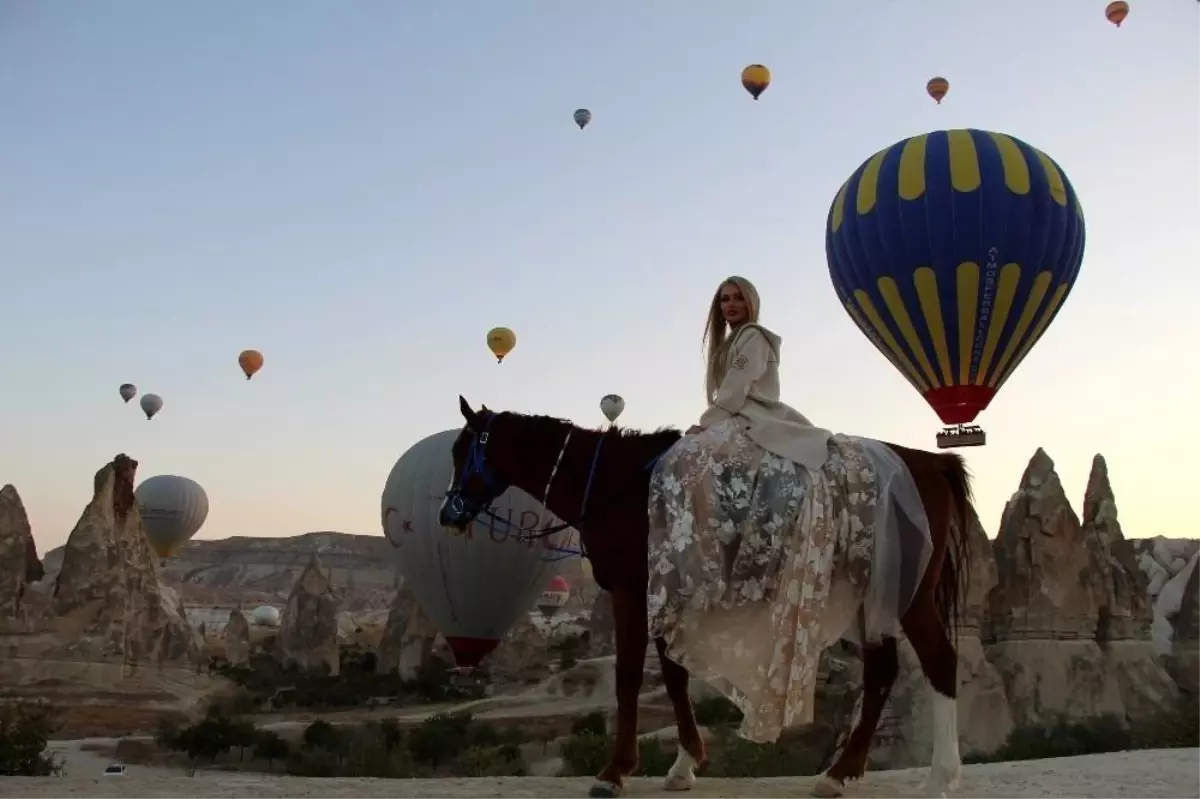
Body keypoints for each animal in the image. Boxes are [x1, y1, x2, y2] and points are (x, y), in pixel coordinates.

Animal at [441, 395, 974, 791]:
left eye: (461, 451)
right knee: (882, 671)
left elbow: (629, 677)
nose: (449, 513)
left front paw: (615, 771)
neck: (617, 484)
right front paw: (684, 763)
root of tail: (931, 462)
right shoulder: (664, 591)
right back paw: (841, 773)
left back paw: (941, 776)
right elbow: (674, 675)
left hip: (908, 594)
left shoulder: (633, 591)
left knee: (939, 661)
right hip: (873, 595)